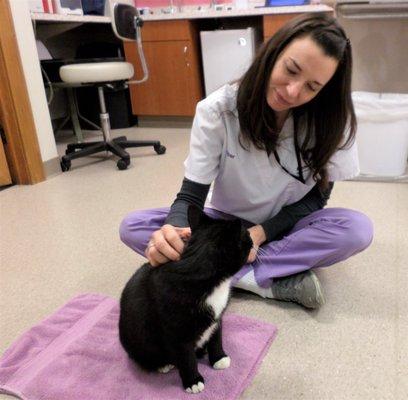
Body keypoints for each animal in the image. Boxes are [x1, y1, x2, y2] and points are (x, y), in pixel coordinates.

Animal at [118, 206, 252, 394]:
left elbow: (216, 337)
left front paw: (218, 357)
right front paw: (193, 381)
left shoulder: (217, 317)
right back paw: (162, 364)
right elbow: (186, 357)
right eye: (247, 234)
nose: (251, 234)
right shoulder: (177, 332)